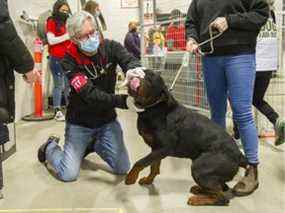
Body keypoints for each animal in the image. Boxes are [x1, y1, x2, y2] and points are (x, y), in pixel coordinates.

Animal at [124, 70, 246, 206]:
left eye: (150, 79)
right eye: (144, 72)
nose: (137, 74)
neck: (155, 108)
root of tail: (239, 156)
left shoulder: (164, 149)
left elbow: (140, 162)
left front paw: (130, 177)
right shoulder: (155, 149)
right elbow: (153, 167)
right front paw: (148, 180)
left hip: (200, 167)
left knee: (222, 197)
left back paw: (198, 199)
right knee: (221, 187)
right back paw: (200, 189)